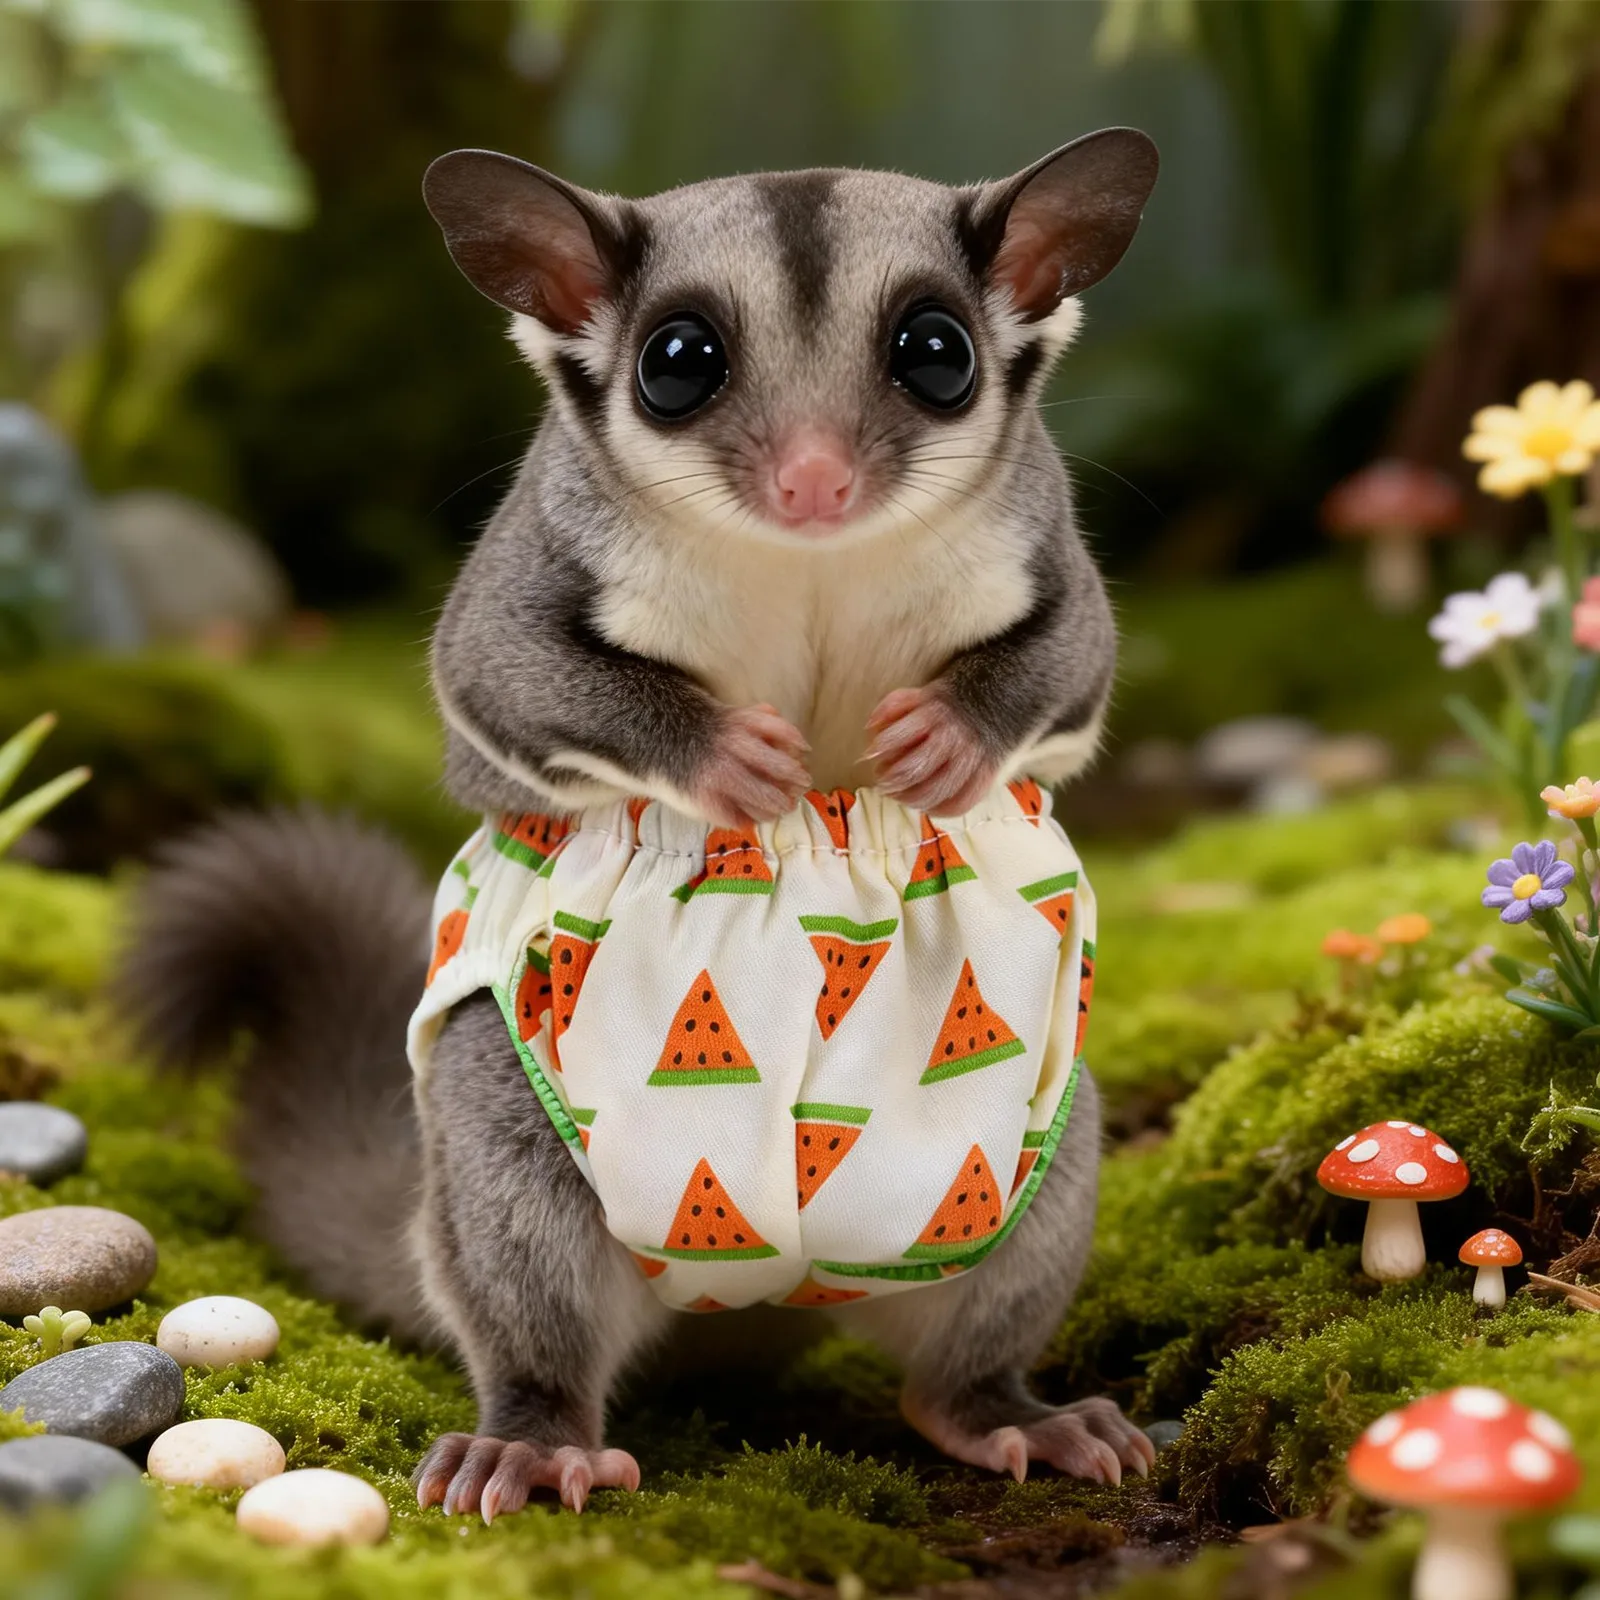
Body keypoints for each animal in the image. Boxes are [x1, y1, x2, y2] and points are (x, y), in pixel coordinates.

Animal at [119, 128, 1159, 1521]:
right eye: (679, 363)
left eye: (935, 352)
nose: (814, 481)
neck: (808, 561)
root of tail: (767, 1297)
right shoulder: (533, 566)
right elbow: (501, 673)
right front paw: (727, 759)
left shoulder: (1043, 546)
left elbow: (1073, 655)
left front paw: (944, 742)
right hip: (519, 1121)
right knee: (526, 1272)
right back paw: (532, 1438)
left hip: (1004, 1154)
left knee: (969, 1333)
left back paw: (1009, 1414)